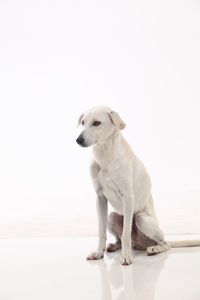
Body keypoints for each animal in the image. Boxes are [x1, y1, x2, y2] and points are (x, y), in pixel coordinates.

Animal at [76, 106, 200, 264]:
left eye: (96, 123)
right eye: (83, 122)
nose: (78, 140)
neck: (105, 155)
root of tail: (140, 244)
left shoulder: (128, 196)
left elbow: (126, 234)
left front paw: (126, 257)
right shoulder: (100, 197)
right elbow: (101, 231)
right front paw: (99, 253)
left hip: (142, 219)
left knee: (165, 244)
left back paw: (154, 249)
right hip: (112, 216)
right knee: (122, 239)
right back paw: (114, 246)